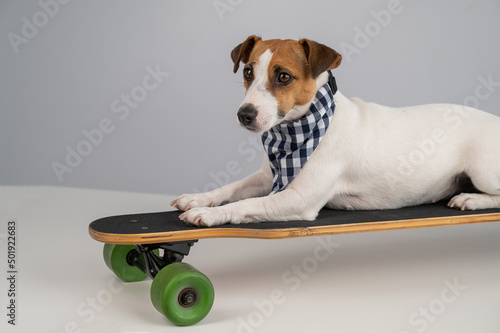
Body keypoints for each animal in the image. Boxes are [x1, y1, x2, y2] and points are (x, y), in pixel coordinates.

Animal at [171, 36, 500, 227]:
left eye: (284, 76)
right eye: (248, 72)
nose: (245, 114)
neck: (295, 133)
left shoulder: (299, 199)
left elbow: (247, 204)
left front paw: (210, 214)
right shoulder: (266, 177)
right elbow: (232, 189)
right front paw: (198, 199)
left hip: (482, 169)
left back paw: (472, 200)